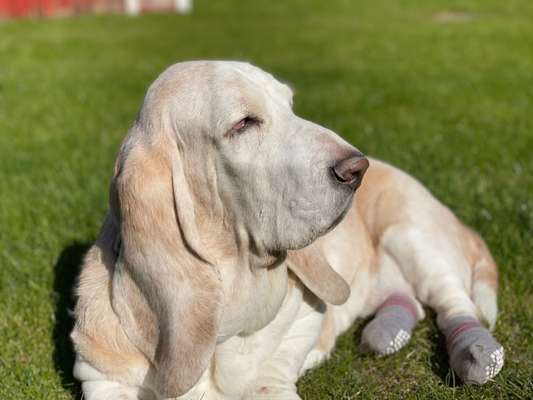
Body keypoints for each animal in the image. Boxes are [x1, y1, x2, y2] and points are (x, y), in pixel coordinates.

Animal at [71, 60, 502, 400]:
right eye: (244, 123)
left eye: (290, 106)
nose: (357, 169)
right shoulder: (100, 378)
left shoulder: (300, 327)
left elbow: (273, 364)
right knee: (409, 301)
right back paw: (385, 333)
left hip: (412, 235)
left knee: (454, 304)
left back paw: (477, 355)